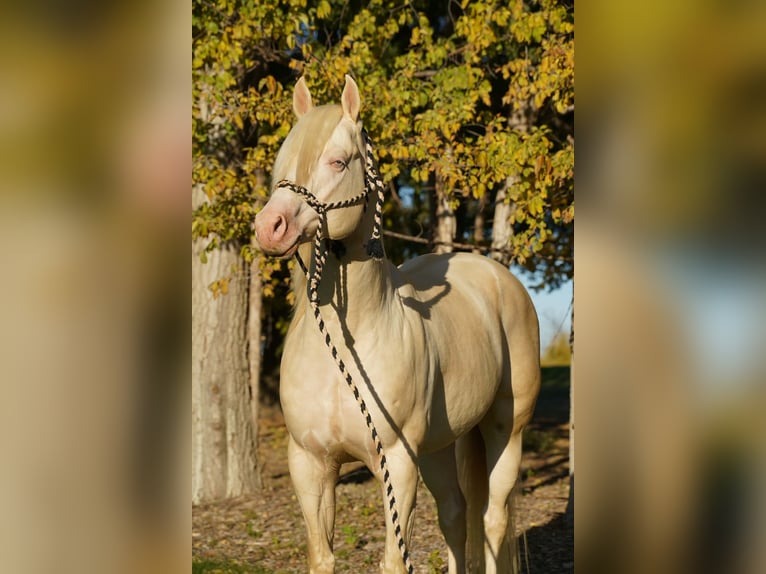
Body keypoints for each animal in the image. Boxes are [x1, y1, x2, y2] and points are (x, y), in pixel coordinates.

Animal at [253, 75, 541, 574]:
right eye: (281, 163)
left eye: (337, 160)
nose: (270, 227)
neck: (348, 342)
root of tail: (496, 275)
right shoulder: (309, 464)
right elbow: (322, 556)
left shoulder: (398, 462)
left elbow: (393, 559)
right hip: (442, 446)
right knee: (455, 515)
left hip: (506, 430)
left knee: (492, 519)